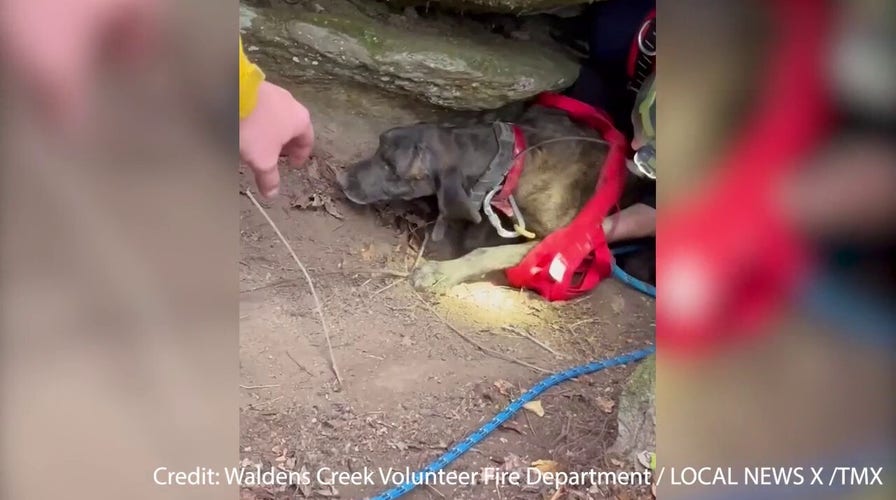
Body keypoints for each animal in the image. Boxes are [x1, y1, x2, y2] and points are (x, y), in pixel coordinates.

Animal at [336, 102, 652, 292]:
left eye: (391, 168)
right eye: (379, 145)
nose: (341, 179)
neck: (512, 160)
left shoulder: (555, 240)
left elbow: (487, 251)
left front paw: (441, 272)